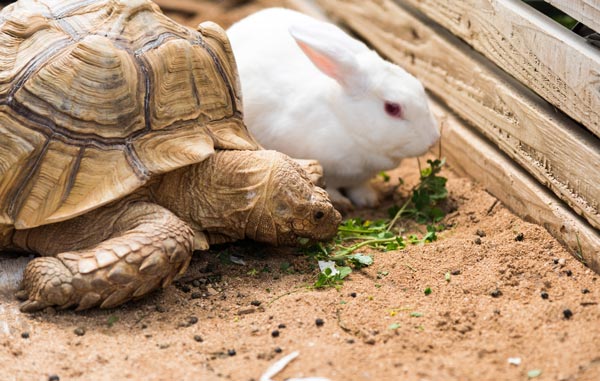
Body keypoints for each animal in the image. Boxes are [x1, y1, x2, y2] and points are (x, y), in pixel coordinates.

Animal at [227, 7, 438, 206]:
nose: (433, 140)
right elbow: (330, 187)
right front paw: (341, 201)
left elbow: (360, 187)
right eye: (392, 108)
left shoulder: (360, 178)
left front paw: (369, 200)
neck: (348, 125)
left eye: (420, 87)